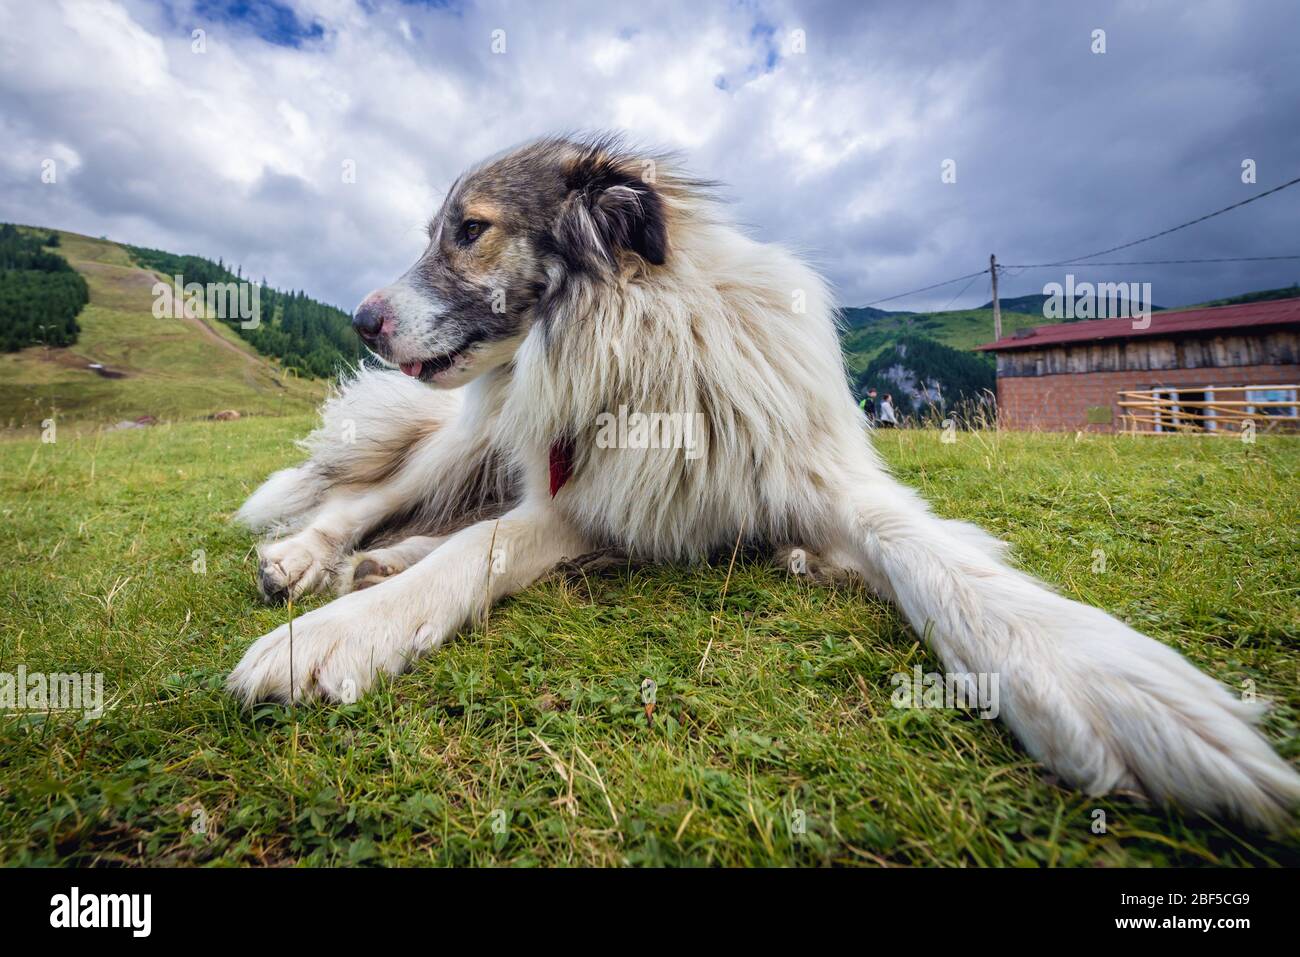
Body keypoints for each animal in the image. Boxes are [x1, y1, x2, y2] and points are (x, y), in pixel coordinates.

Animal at [231, 134, 1300, 832]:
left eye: (470, 229)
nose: (361, 319)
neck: (640, 335)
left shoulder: (718, 482)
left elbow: (931, 557)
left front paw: (1112, 684)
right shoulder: (578, 490)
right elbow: (473, 552)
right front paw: (334, 634)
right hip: (464, 436)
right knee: (370, 497)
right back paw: (308, 559)